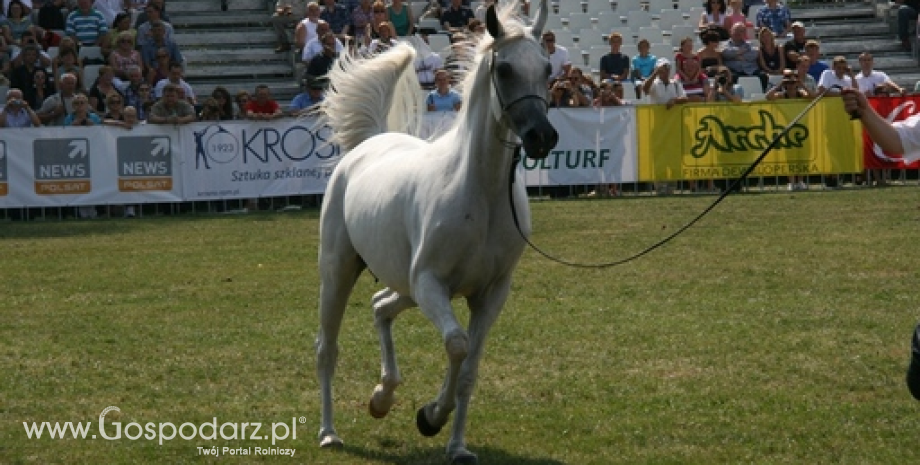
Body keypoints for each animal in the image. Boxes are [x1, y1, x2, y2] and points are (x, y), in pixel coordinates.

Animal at [316, 2, 556, 460]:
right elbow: (457, 345)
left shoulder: (490, 295)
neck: (479, 194)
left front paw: (455, 444)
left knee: (379, 306)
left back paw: (382, 396)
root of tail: (369, 144)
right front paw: (431, 416)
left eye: (548, 68)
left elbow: (469, 369)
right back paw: (329, 433)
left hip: (403, 286)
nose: (542, 136)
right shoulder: (431, 283)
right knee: (327, 348)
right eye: (505, 69)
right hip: (340, 272)